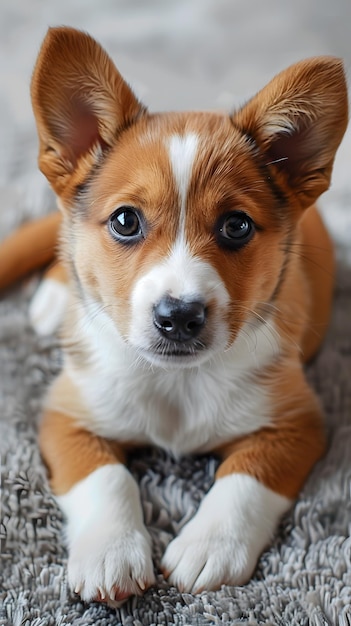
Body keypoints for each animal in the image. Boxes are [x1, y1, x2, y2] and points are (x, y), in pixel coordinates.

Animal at [14, 25, 350, 604]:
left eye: (236, 226)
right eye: (126, 221)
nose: (179, 316)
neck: (177, 383)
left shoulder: (296, 423)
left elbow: (245, 477)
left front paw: (209, 546)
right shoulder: (67, 415)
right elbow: (105, 478)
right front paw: (111, 553)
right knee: (63, 243)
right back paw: (57, 295)